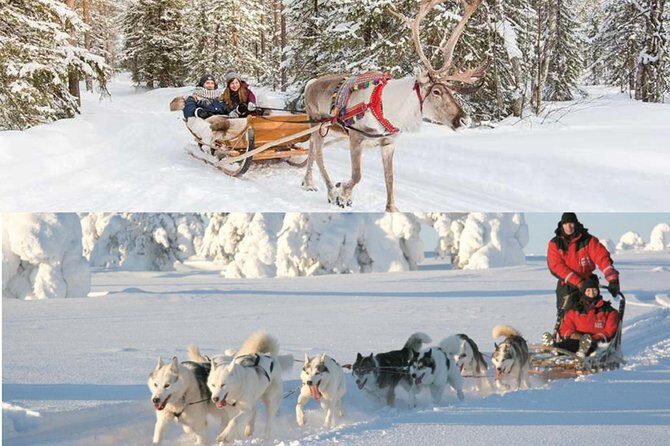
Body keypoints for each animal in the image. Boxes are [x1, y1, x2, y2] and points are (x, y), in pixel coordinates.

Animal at [302, 0, 486, 212]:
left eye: (451, 90)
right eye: (437, 91)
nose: (464, 120)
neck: (389, 109)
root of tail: (310, 84)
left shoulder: (388, 143)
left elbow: (389, 178)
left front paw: (391, 208)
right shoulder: (356, 138)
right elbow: (357, 175)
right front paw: (343, 193)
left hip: (325, 129)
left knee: (311, 149)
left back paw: (308, 183)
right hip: (317, 124)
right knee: (318, 154)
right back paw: (330, 190)